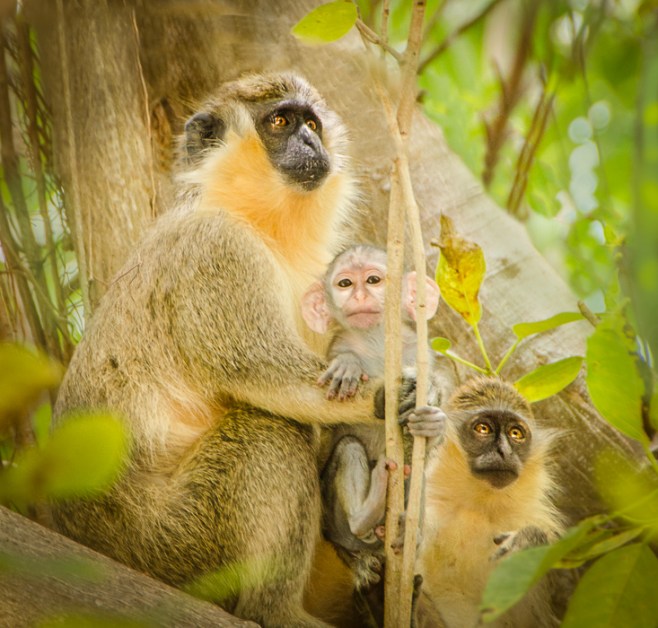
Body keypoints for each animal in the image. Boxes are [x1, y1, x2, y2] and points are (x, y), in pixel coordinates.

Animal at [51, 73, 418, 628]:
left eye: (311, 124)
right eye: (280, 121)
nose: (310, 144)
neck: (257, 221)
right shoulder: (217, 251)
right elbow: (270, 380)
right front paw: (383, 396)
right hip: (174, 544)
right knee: (270, 432)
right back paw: (276, 609)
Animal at [301, 244, 451, 622]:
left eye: (373, 280)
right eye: (344, 283)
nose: (359, 295)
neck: (378, 343)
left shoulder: (419, 353)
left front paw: (432, 420)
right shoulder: (336, 345)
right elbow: (326, 430)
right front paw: (351, 369)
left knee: (415, 476)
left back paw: (402, 531)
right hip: (334, 521)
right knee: (349, 449)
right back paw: (367, 512)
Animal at [417, 377, 566, 628]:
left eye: (515, 433)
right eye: (483, 429)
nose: (504, 451)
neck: (480, 506)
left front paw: (529, 540)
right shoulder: (431, 508)